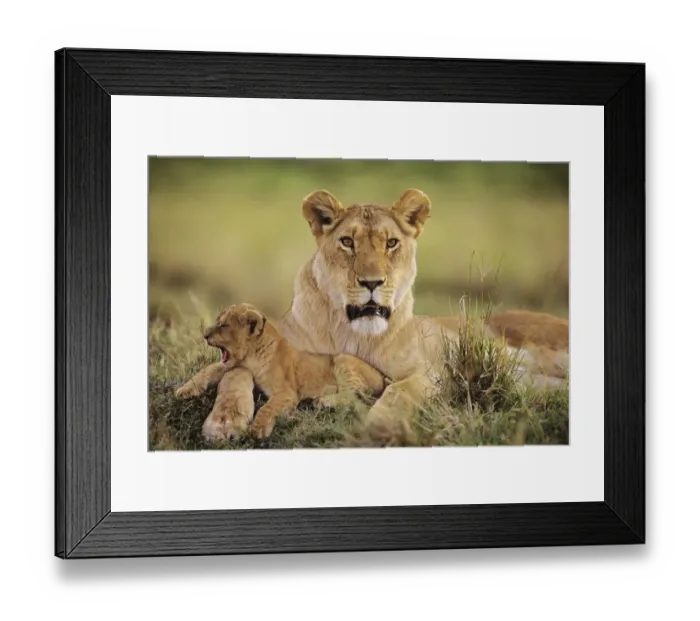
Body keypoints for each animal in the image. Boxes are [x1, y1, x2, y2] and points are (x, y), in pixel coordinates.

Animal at [176, 303, 389, 440]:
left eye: (224, 325)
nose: (204, 335)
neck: (251, 355)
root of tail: (382, 375)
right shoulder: (234, 366)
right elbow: (209, 369)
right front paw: (184, 391)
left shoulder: (287, 392)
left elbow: (267, 408)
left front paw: (258, 430)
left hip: (342, 358)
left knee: (356, 393)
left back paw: (322, 401)